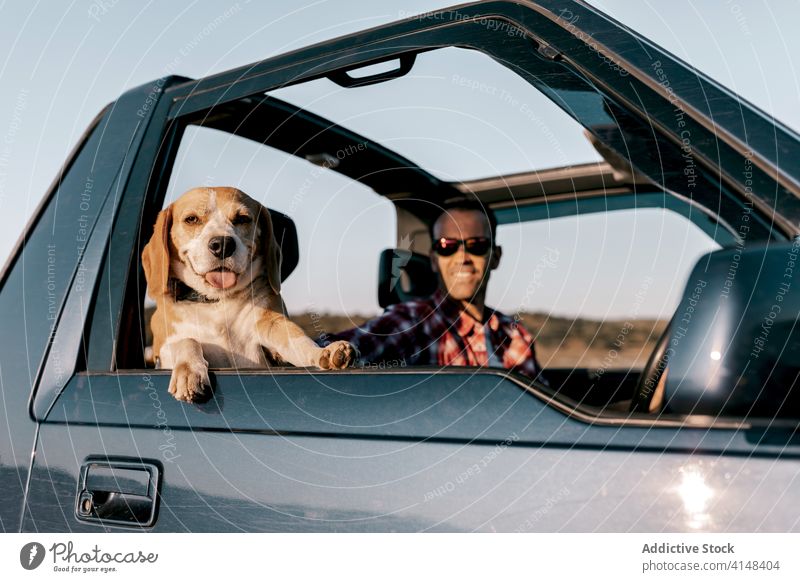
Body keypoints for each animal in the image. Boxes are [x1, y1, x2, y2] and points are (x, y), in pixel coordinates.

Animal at [143, 186, 356, 402]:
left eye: (242, 218)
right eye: (191, 219)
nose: (222, 244)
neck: (217, 301)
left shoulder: (271, 323)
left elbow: (298, 339)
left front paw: (325, 352)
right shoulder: (163, 349)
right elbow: (186, 340)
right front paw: (189, 373)